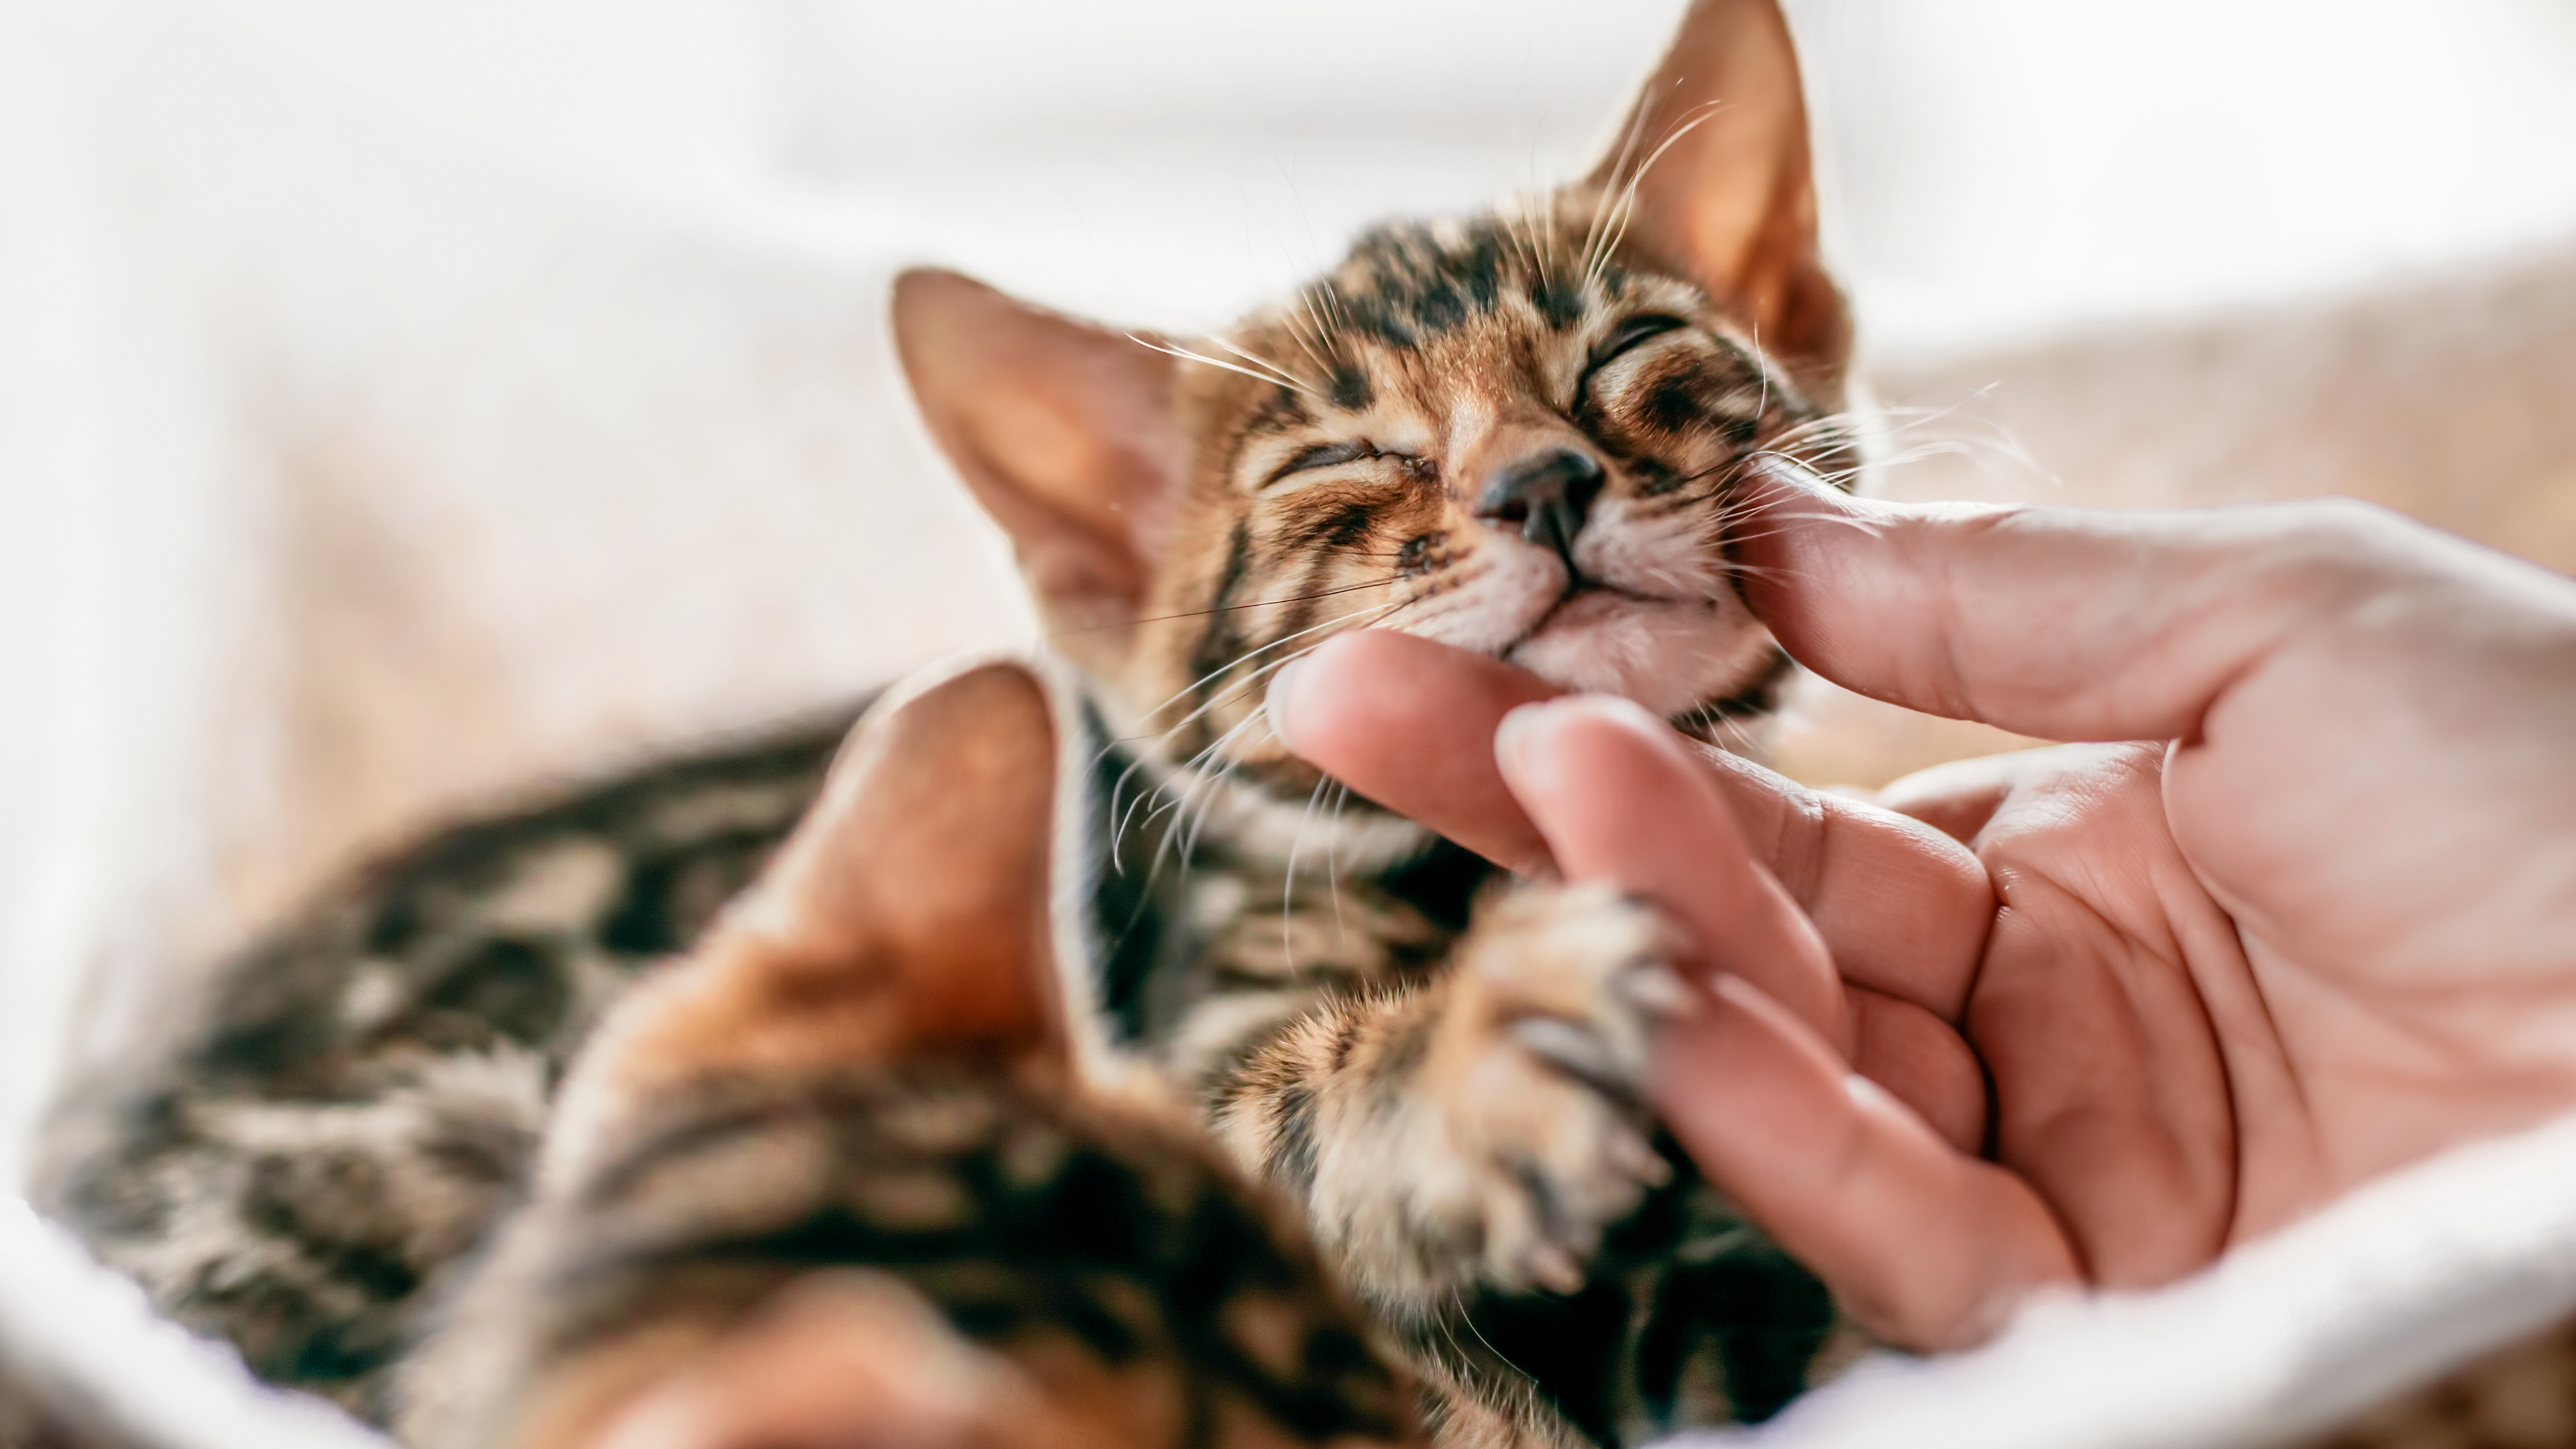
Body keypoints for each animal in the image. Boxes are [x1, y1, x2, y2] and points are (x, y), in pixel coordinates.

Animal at [50, 5, 1865, 1433]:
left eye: (1627, 353)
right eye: (1345, 462)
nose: (1541, 481)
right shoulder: (1171, 1071)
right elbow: (1288, 1138)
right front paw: (1475, 1056)